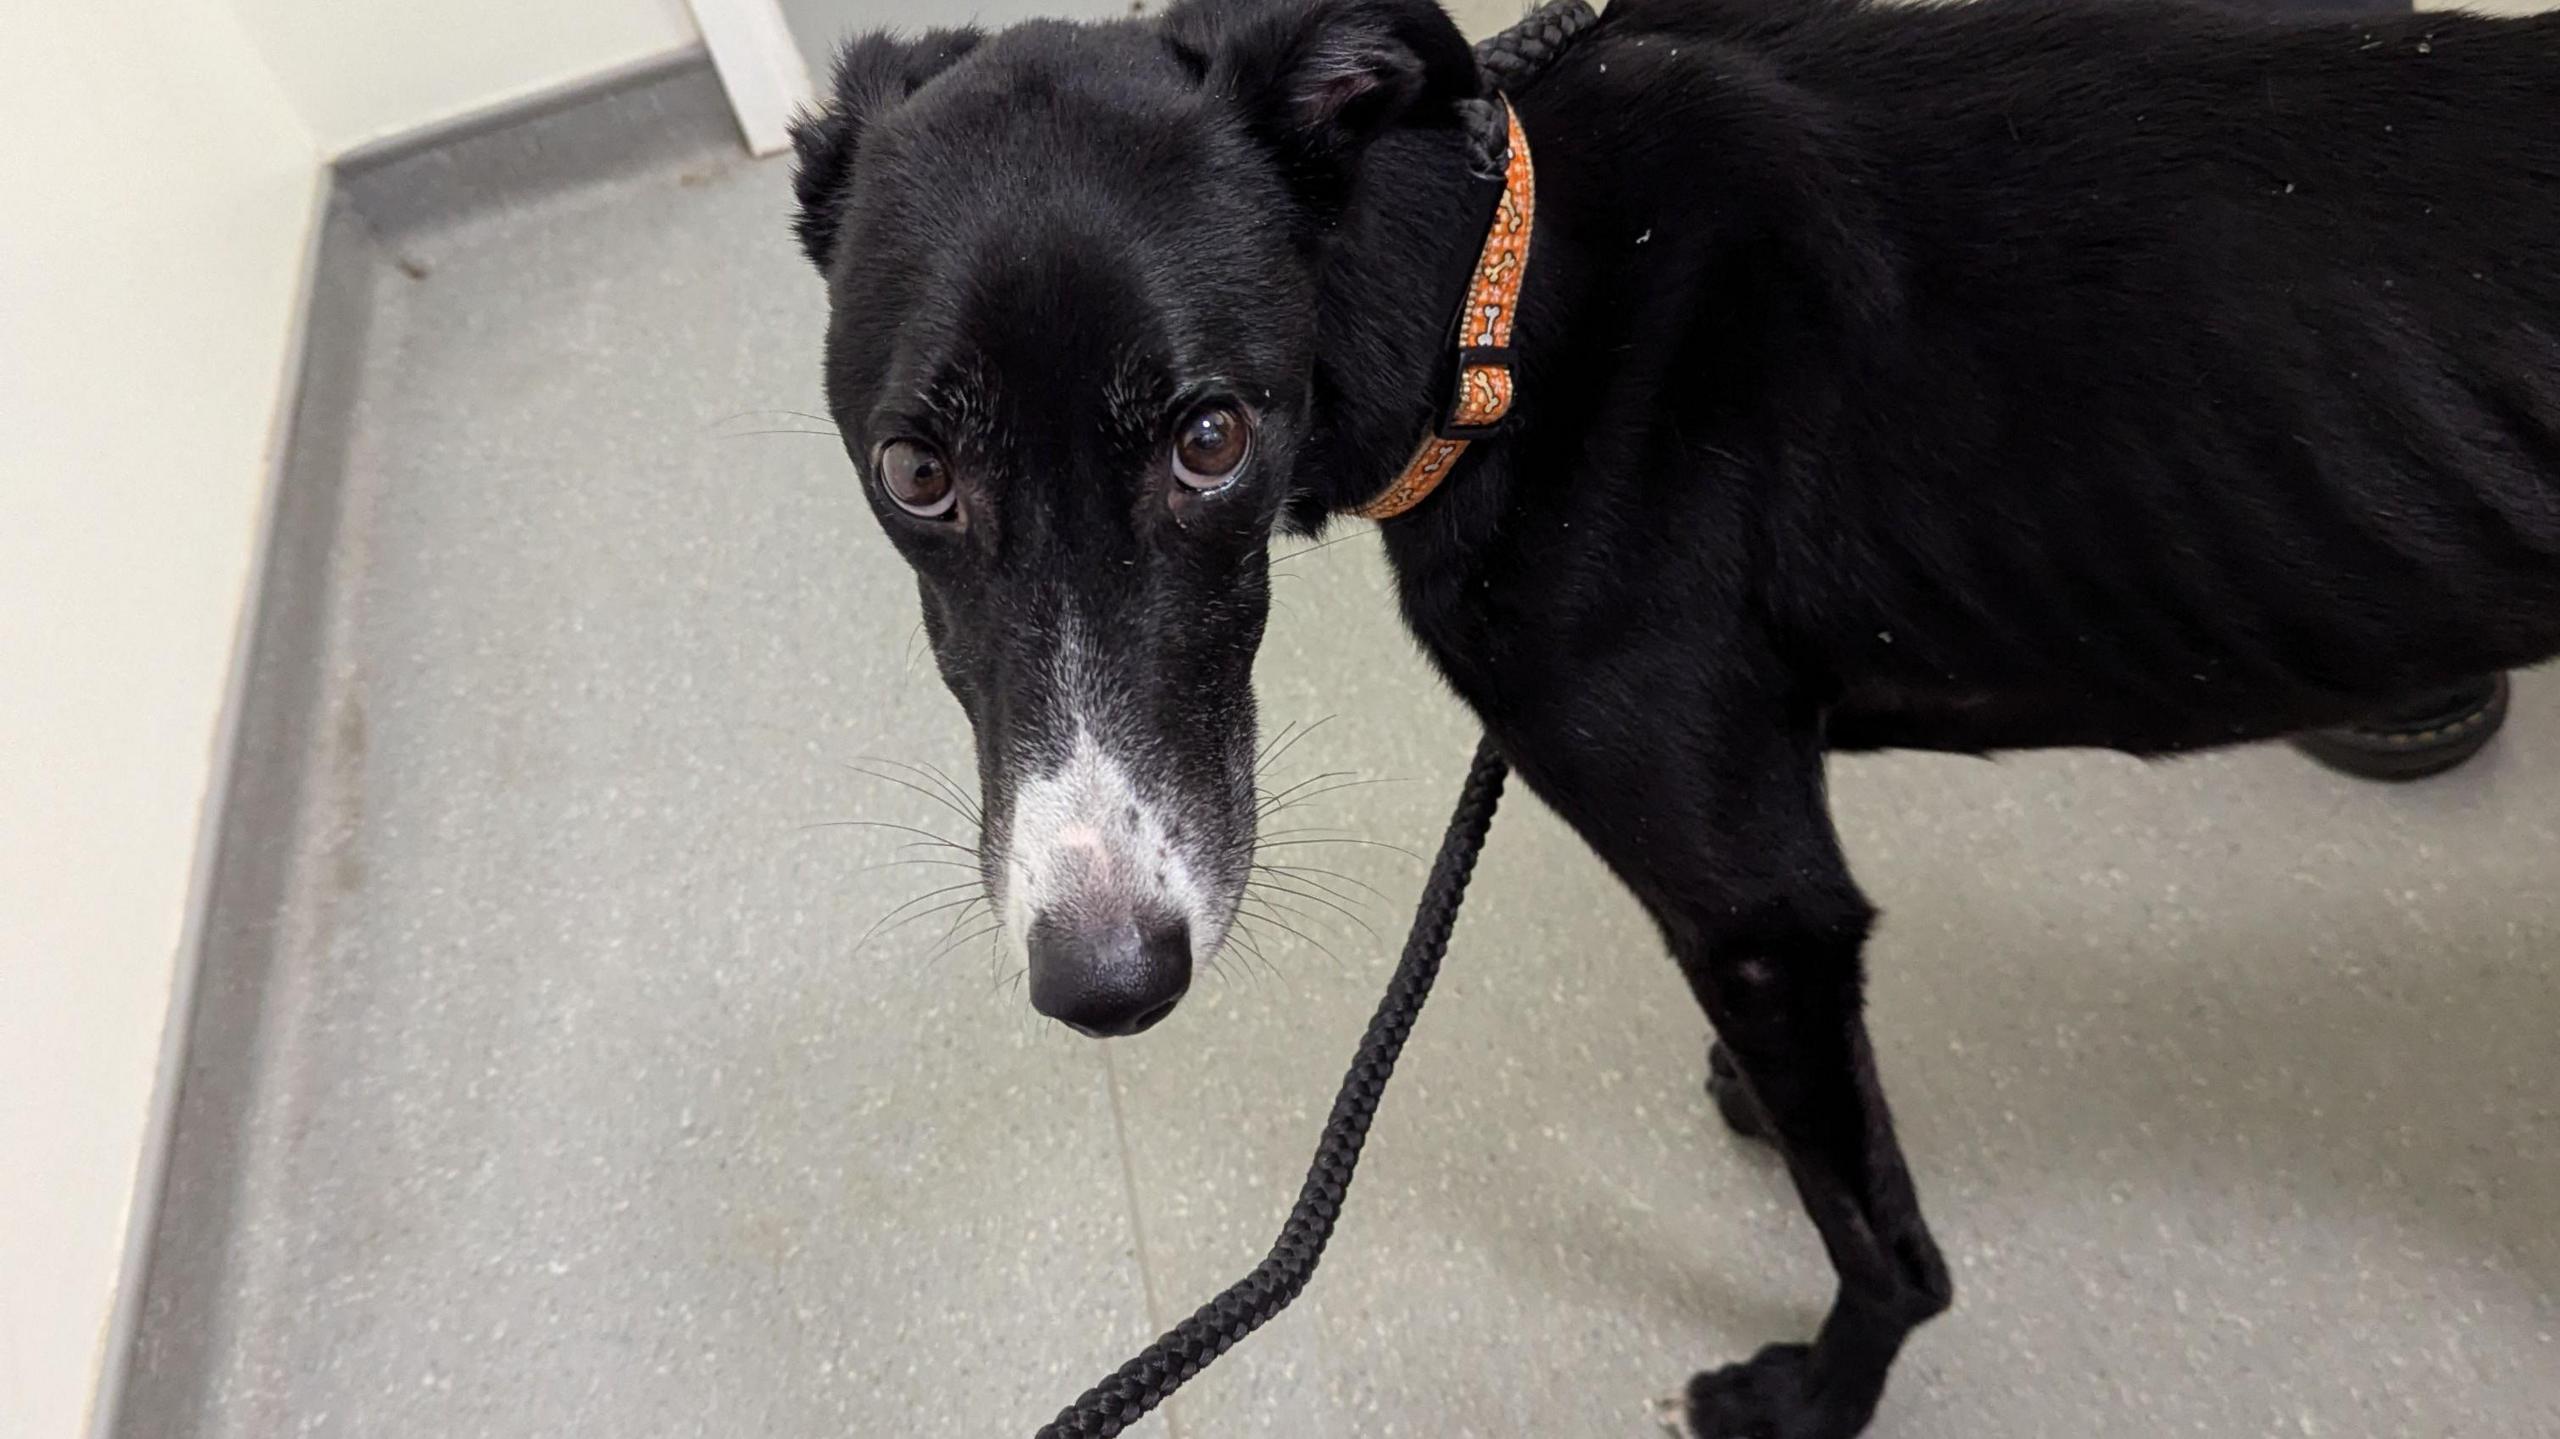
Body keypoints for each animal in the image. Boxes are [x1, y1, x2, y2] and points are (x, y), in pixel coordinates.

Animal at [793, 0, 2560, 1423]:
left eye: (1211, 436)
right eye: (914, 469)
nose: (1106, 979)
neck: (1494, 311)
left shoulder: (1759, 906)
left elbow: (1880, 1235)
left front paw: (1823, 1390)